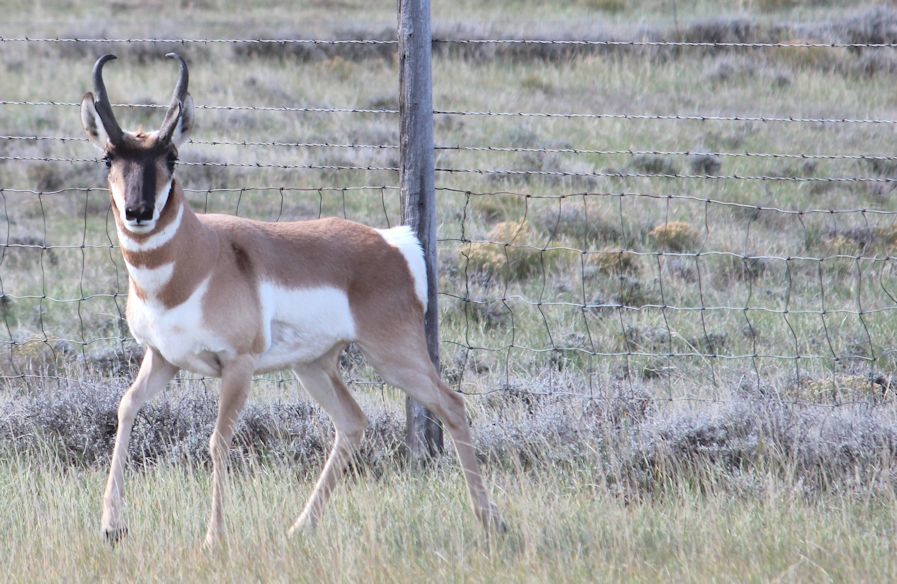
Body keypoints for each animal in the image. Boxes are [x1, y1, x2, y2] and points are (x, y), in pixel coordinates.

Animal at [80, 53, 504, 546]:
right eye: (109, 156)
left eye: (171, 155)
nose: (139, 212)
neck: (198, 256)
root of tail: (392, 242)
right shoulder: (162, 358)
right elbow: (126, 407)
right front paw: (112, 526)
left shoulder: (238, 366)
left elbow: (218, 440)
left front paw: (213, 538)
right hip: (314, 366)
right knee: (353, 422)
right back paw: (299, 527)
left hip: (394, 357)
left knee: (451, 404)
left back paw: (492, 521)